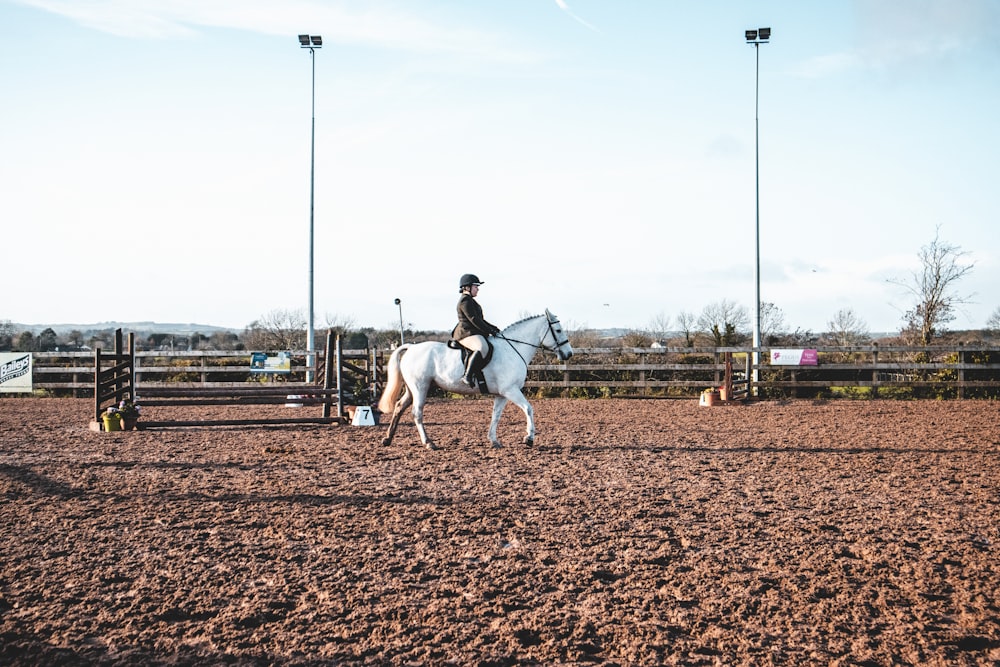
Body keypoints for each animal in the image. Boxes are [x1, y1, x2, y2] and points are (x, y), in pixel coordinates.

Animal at [376, 310, 580, 452]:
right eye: (558, 330)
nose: (569, 354)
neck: (513, 348)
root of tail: (411, 348)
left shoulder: (502, 394)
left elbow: (496, 416)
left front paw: (494, 441)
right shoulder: (511, 390)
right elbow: (528, 409)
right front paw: (529, 438)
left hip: (412, 389)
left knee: (399, 407)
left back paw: (388, 439)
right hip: (420, 388)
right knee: (416, 413)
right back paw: (429, 443)